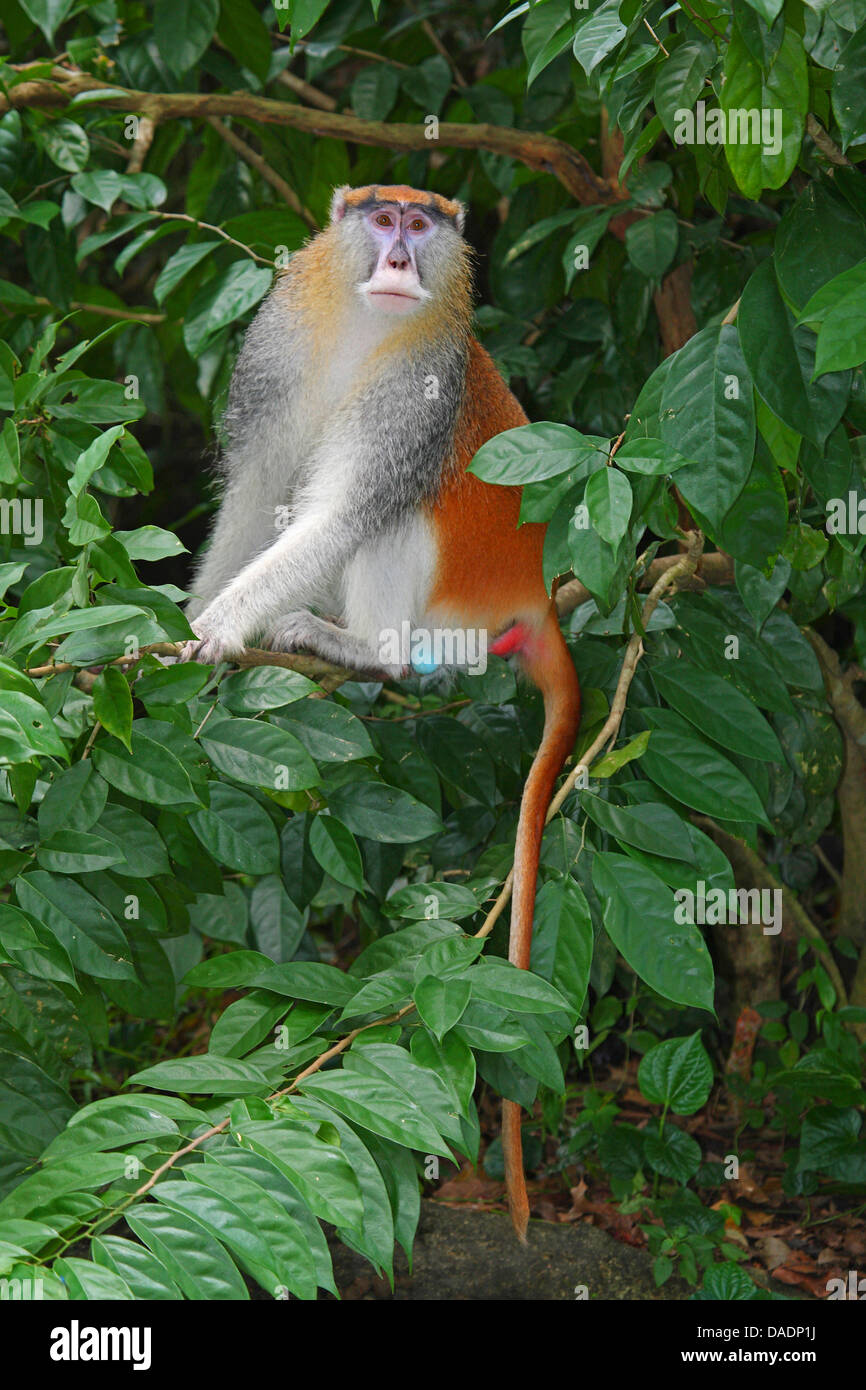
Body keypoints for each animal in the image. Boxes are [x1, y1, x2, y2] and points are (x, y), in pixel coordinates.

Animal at [181, 184, 582, 1240]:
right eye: (380, 216)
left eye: (424, 223)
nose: (400, 255)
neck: (368, 329)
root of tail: (534, 595)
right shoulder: (275, 348)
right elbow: (258, 495)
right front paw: (184, 613)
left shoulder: (417, 396)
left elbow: (345, 515)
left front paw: (221, 626)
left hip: (461, 607)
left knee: (401, 512)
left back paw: (364, 650)